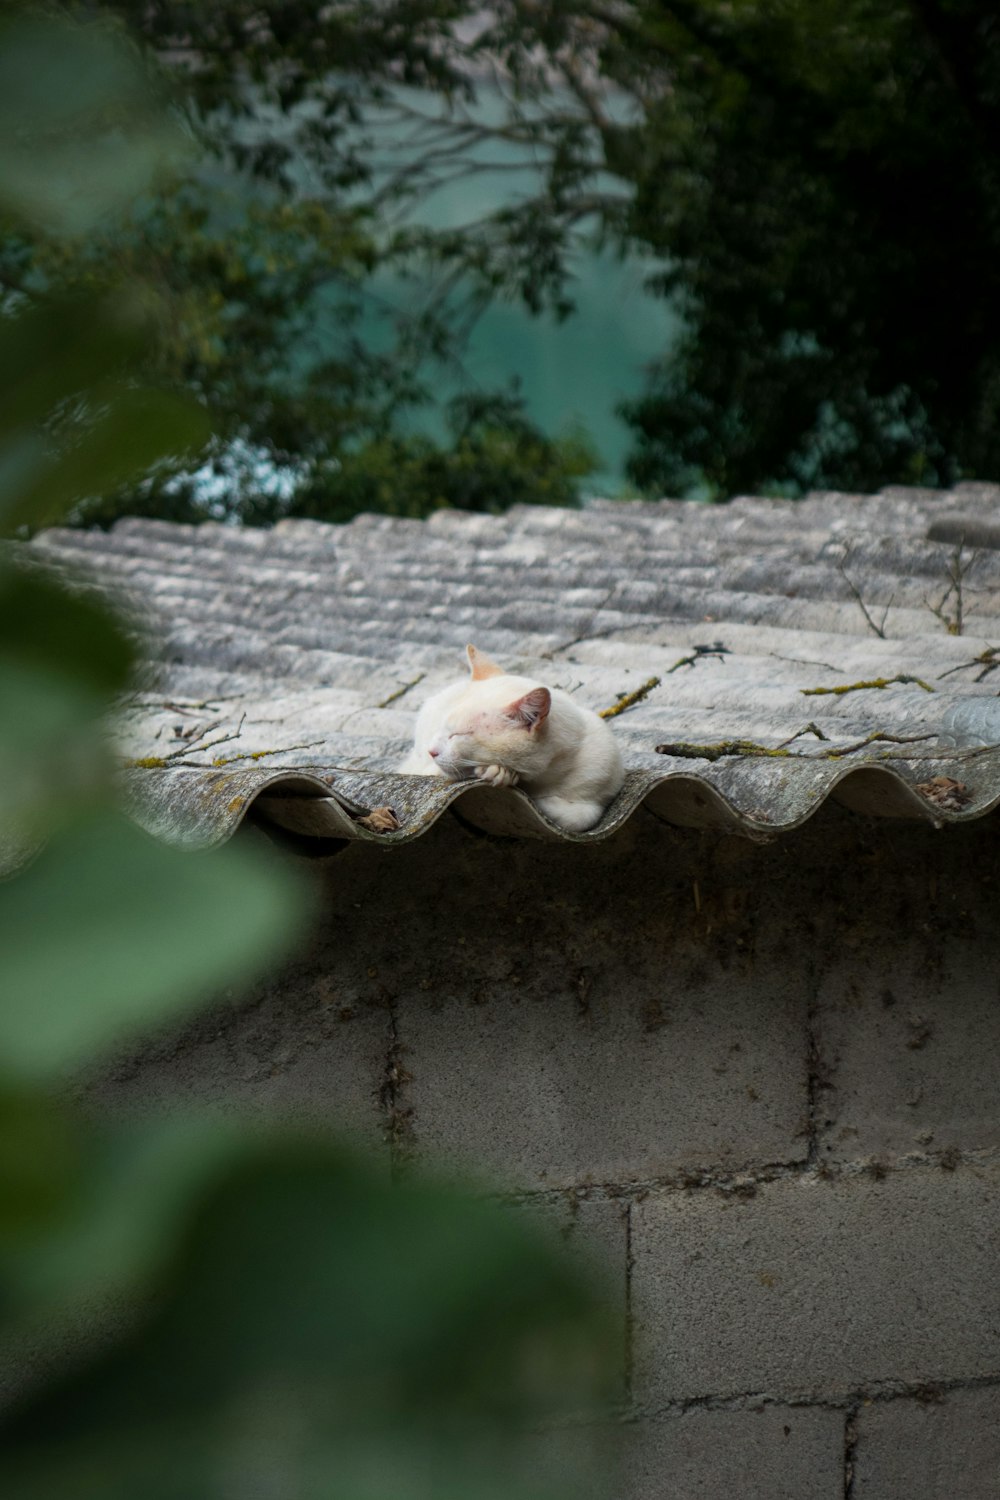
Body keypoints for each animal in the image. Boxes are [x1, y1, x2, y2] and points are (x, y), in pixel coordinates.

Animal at [401, 642, 626, 834]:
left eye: (458, 735)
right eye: (441, 728)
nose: (432, 752)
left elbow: (582, 817)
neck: (549, 775)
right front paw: (501, 773)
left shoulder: (601, 786)